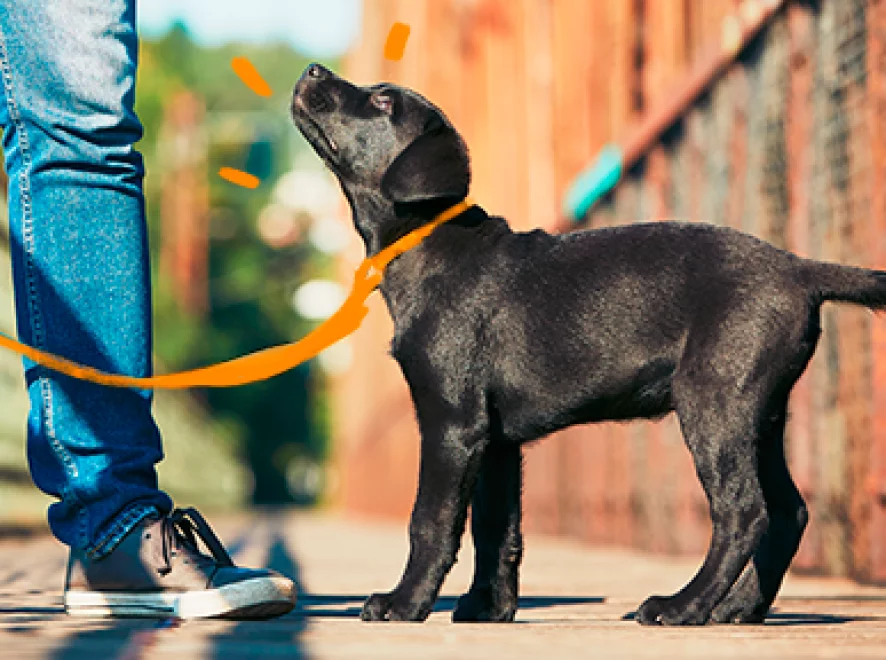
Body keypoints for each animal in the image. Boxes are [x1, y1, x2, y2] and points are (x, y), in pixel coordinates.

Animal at [294, 64, 886, 628]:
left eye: (383, 101)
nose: (313, 69)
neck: (430, 244)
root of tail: (798, 268)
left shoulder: (452, 423)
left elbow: (431, 521)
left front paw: (404, 602)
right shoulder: (496, 441)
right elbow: (497, 530)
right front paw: (488, 607)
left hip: (714, 401)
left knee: (743, 511)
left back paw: (684, 607)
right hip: (761, 413)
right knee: (788, 512)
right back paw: (739, 608)